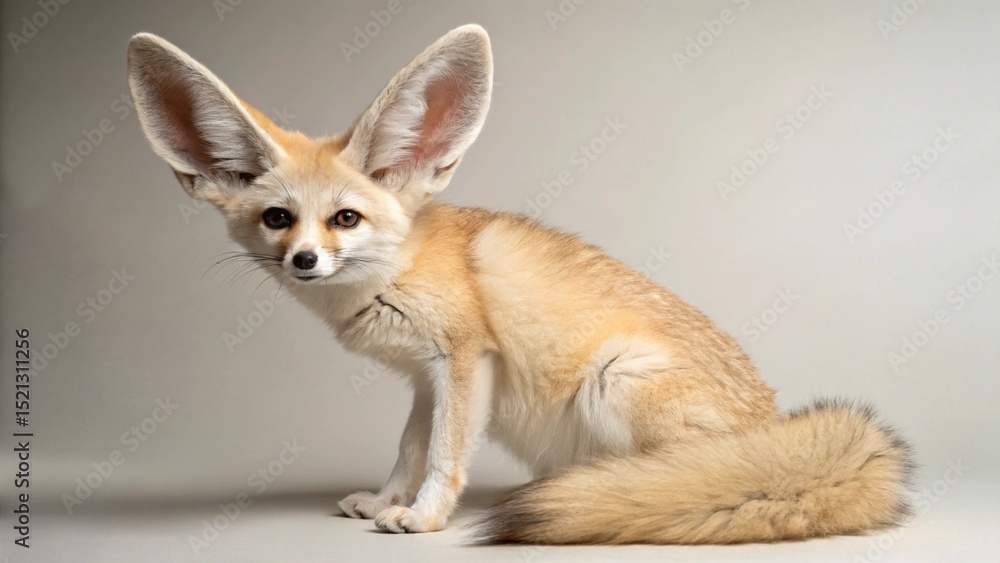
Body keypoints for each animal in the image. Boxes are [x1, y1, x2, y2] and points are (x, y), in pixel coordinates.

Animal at [127, 24, 914, 544]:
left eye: (345, 218)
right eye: (278, 219)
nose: (305, 260)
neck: (398, 270)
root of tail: (774, 427)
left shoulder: (465, 359)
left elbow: (443, 456)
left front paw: (424, 516)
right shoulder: (428, 378)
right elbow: (409, 449)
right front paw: (385, 499)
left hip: (616, 378)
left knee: (678, 484)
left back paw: (611, 496)